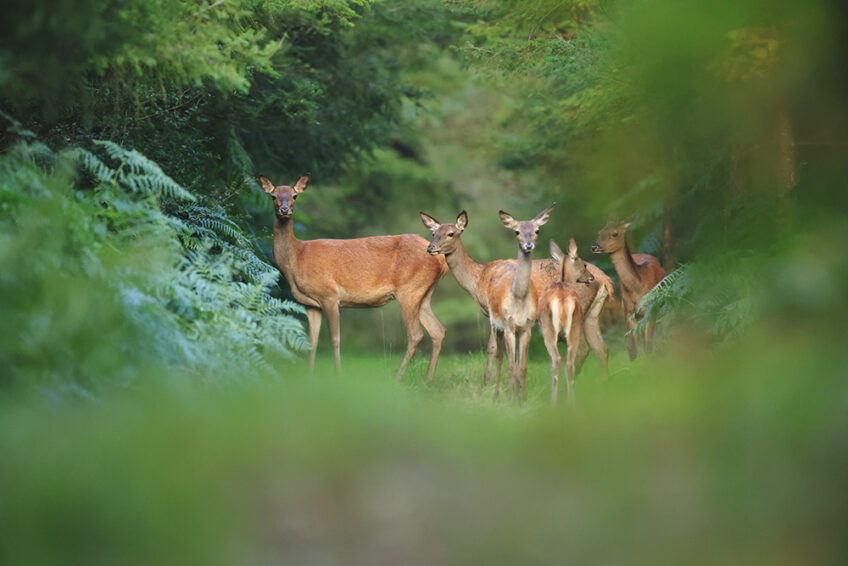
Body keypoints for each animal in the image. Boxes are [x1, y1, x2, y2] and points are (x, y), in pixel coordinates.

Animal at [260, 174, 448, 381]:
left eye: (294, 195)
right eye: (274, 196)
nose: (285, 210)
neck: (297, 258)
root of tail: (441, 259)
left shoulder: (329, 295)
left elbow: (335, 338)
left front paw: (339, 375)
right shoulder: (311, 304)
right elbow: (312, 341)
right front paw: (309, 376)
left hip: (409, 290)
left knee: (416, 334)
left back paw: (397, 378)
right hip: (424, 293)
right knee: (437, 330)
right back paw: (428, 379)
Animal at [420, 207, 555, 400]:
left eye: (451, 233)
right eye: (433, 233)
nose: (430, 248)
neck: (478, 281)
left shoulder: (492, 313)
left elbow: (491, 347)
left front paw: (486, 384)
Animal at [538, 238, 608, 404]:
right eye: (584, 264)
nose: (591, 277)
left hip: (550, 331)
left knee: (558, 360)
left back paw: (554, 401)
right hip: (581, 324)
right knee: (582, 357)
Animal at [591, 215, 667, 360]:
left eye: (615, 233)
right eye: (599, 232)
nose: (594, 246)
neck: (638, 287)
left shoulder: (651, 307)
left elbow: (649, 344)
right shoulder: (628, 311)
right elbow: (632, 348)